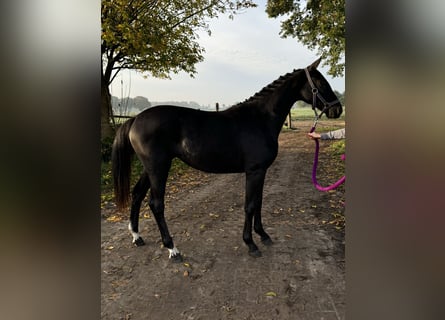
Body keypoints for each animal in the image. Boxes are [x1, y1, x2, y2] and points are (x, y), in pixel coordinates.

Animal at [111, 58, 340, 262]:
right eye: (320, 83)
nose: (337, 109)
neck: (259, 119)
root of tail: (135, 119)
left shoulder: (262, 171)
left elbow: (259, 201)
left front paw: (263, 235)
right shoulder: (254, 171)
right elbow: (250, 205)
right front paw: (251, 243)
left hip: (151, 168)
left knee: (137, 194)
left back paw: (137, 236)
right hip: (159, 168)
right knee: (156, 204)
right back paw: (172, 249)